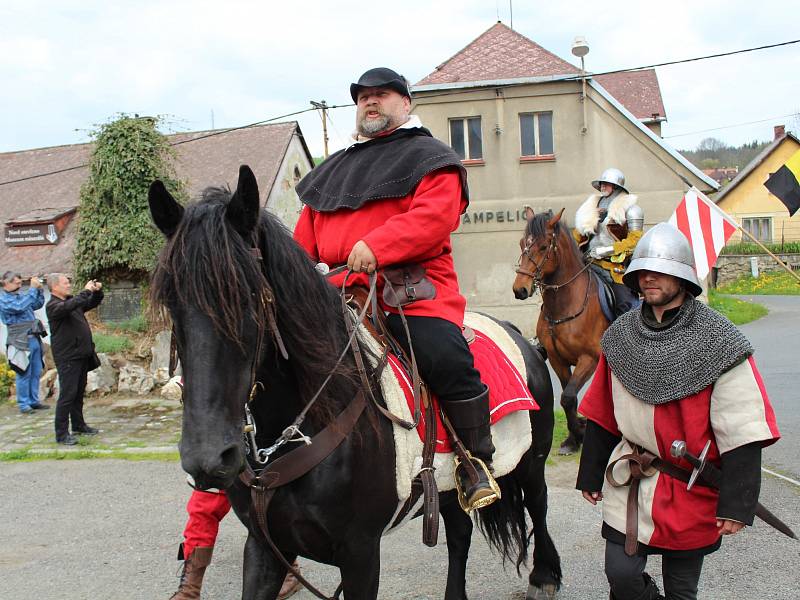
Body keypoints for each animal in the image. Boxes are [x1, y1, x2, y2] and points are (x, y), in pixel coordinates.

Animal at [150, 165, 564, 600]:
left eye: (247, 295)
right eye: (171, 301)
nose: (208, 459)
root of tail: (521, 337)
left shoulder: (360, 553)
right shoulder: (264, 547)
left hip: (531, 461)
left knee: (538, 505)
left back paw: (545, 575)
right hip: (450, 489)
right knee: (459, 534)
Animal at [510, 209, 608, 452]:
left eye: (544, 246)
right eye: (522, 244)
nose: (520, 289)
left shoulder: (589, 358)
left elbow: (568, 396)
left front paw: (580, 431)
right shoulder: (557, 360)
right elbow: (567, 399)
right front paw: (573, 438)